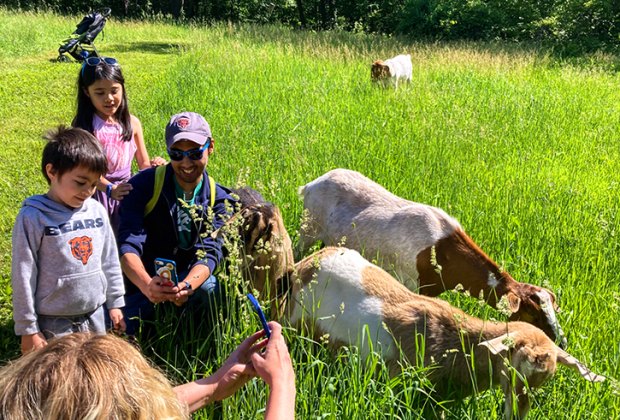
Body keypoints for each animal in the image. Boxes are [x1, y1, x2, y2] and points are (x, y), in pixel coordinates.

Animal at [300, 167, 568, 348]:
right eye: (532, 314)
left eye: (553, 310)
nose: (561, 342)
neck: (445, 249)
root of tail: (310, 185)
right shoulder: (414, 283)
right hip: (308, 229)